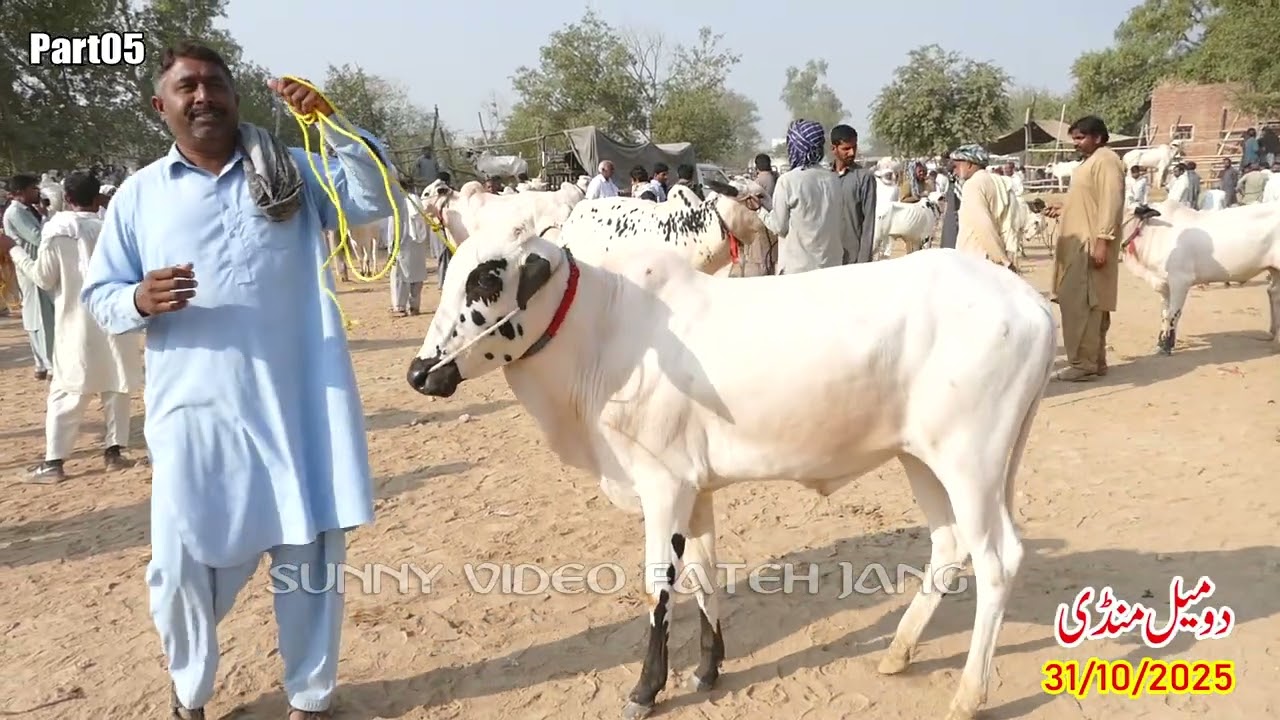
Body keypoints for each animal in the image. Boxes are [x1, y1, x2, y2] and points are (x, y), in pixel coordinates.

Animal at [405, 225, 1057, 720]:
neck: (604, 333)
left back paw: (968, 695)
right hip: (922, 457)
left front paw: (646, 689)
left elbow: (658, 586)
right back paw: (898, 651)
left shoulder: (663, 485)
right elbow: (703, 571)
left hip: (971, 461)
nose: (419, 373)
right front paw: (708, 667)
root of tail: (1027, 300)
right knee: (949, 546)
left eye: (487, 278)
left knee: (998, 561)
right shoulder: (694, 488)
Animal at [1122, 201, 1280, 354]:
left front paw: (1167, 345)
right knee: (1273, 293)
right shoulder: (1163, 284)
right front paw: (1161, 343)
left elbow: (1174, 313)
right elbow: (1164, 314)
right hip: (1275, 270)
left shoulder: (1180, 280)